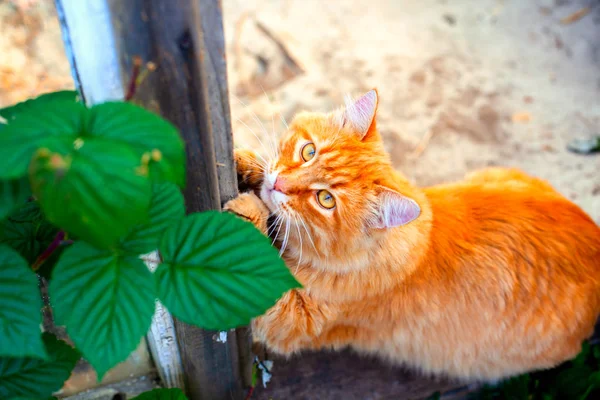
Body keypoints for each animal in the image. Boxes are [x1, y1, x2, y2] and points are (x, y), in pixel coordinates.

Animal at [224, 90, 600, 382]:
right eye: (308, 152)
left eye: (325, 199)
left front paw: (250, 212)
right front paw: (247, 164)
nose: (278, 184)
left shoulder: (293, 319)